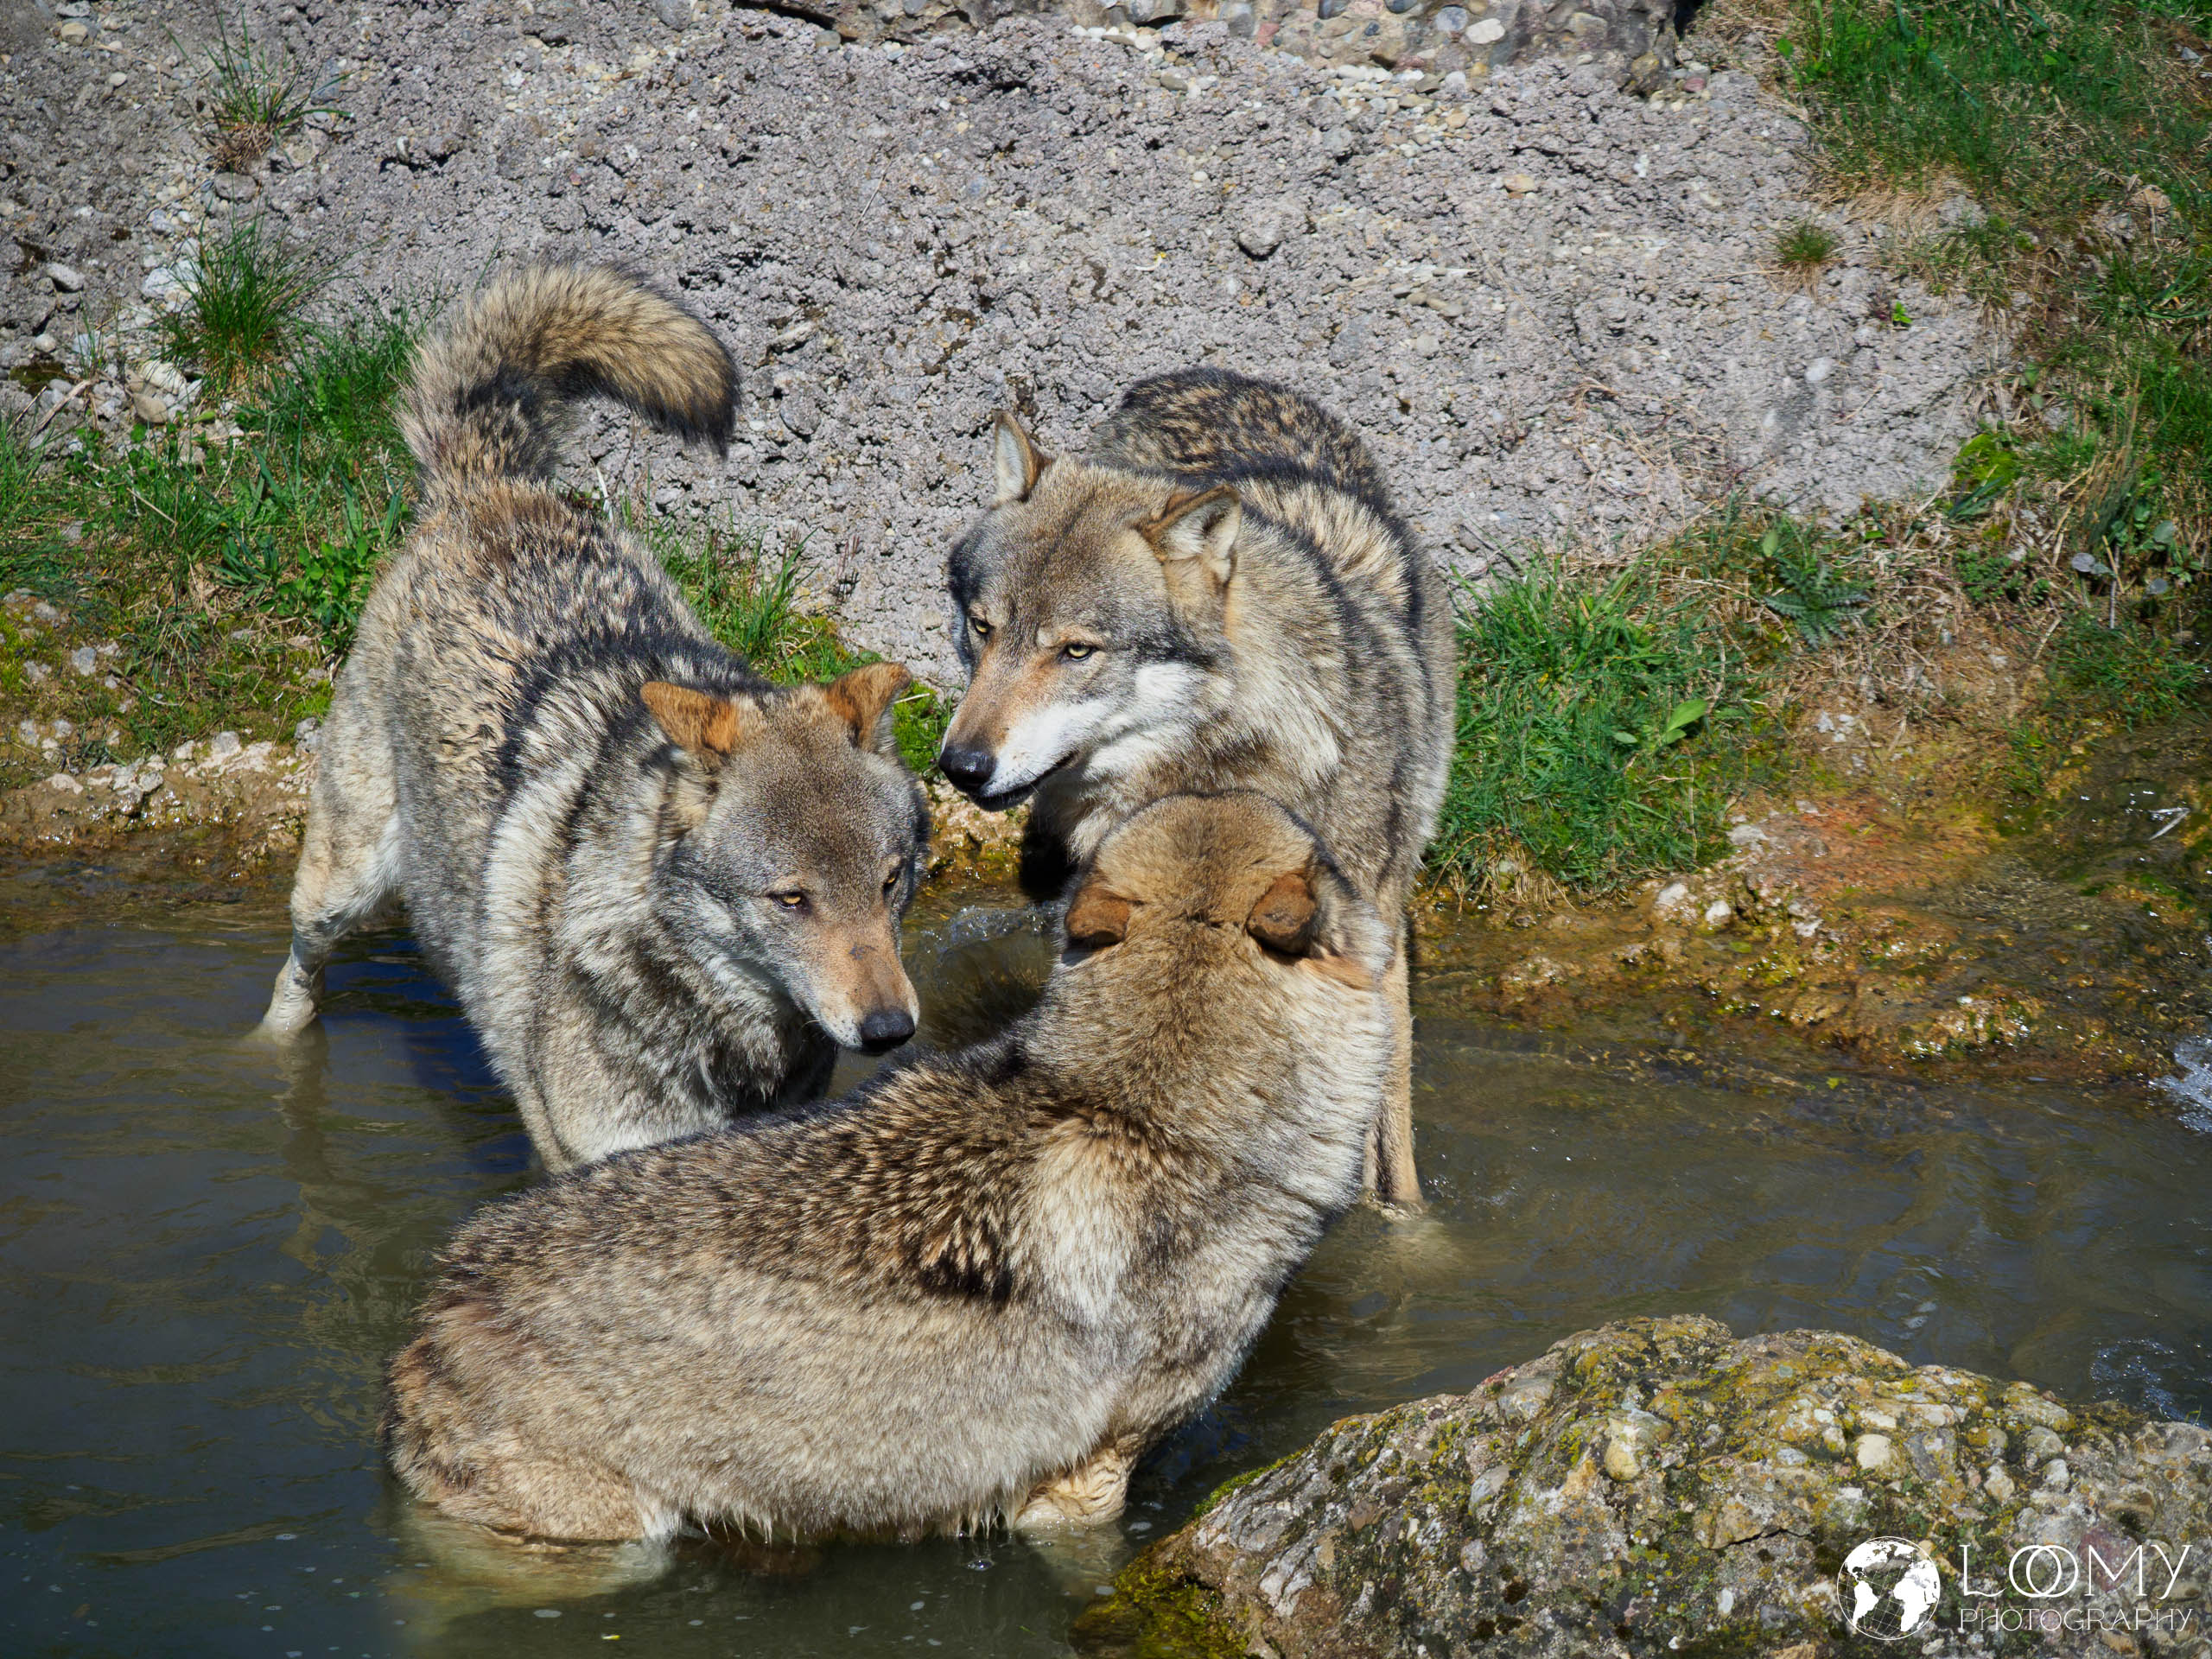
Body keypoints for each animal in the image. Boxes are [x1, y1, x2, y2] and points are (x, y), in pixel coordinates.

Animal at [259, 264, 929, 1172]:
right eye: (791, 900)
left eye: (890, 882)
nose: (891, 1029)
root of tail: (493, 488)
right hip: (344, 881)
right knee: (299, 965)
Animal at [936, 367, 1452, 1205]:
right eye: (983, 628)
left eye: (1076, 651)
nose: (962, 765)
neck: (1216, 771)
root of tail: (1201, 377)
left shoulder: (1370, 944)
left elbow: (1390, 1132)